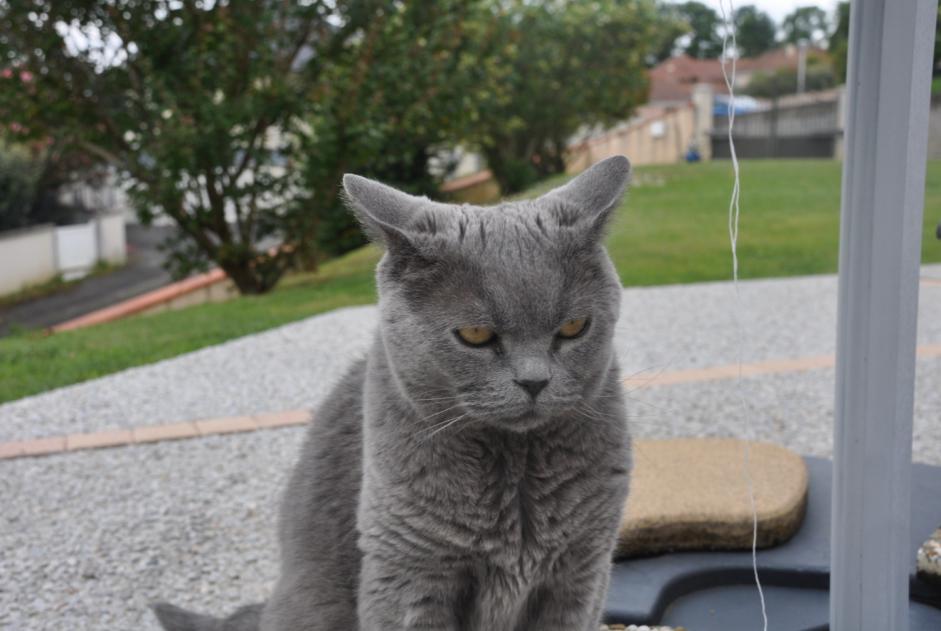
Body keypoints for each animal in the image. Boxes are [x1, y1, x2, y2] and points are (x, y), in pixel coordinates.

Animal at [154, 154, 632, 631]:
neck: (515, 473)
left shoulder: (582, 573)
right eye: (475, 335)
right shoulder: (409, 574)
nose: (534, 381)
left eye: (574, 327)